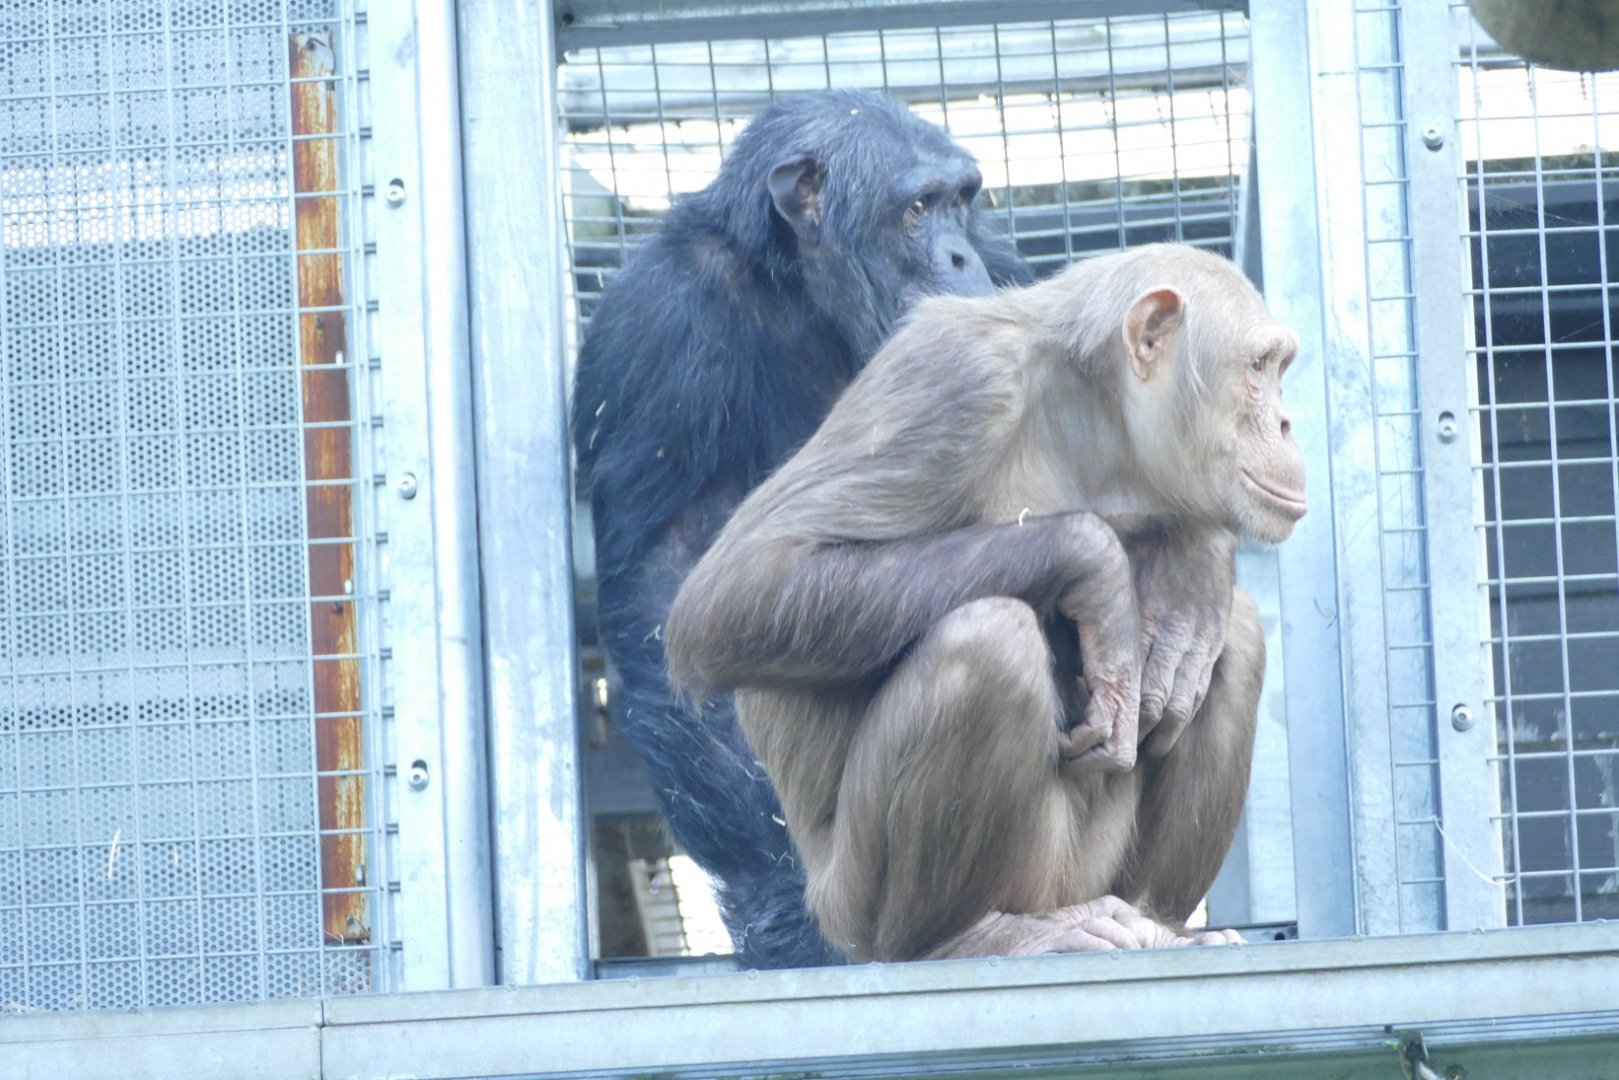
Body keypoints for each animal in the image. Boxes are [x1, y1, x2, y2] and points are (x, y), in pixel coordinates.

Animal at [664, 243, 1306, 961]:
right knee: (985, 644)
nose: (1285, 422)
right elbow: (742, 588)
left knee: (1235, 642)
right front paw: (1100, 572)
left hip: (1092, 876)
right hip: (862, 909)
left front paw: (1186, 588)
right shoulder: (954, 379)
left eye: (1279, 368)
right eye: (1259, 367)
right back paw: (970, 936)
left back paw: (1163, 925)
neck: (1091, 418)